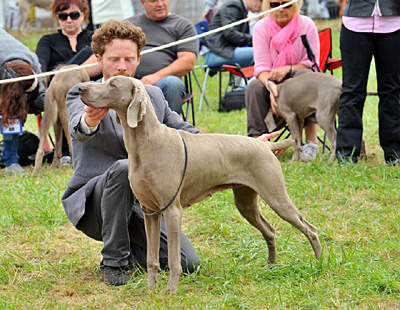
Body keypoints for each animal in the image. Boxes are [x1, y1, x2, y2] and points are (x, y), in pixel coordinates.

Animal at [79, 76, 322, 294]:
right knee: (270, 229)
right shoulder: (150, 212)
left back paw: (319, 263)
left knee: (310, 228)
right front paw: (150, 290)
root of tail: (265, 146)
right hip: (245, 201)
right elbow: (151, 259)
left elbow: (174, 260)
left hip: (276, 197)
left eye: (112, 84)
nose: (81, 88)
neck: (147, 143)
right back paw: (271, 265)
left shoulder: (172, 211)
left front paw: (171, 291)